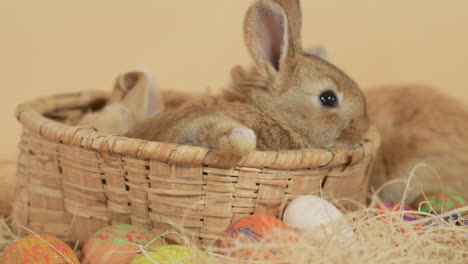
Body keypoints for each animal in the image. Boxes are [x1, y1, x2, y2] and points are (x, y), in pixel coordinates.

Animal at [128, 0, 370, 156]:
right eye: (328, 98)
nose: (363, 130)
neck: (273, 115)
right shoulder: (197, 127)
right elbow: (226, 136)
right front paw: (244, 137)